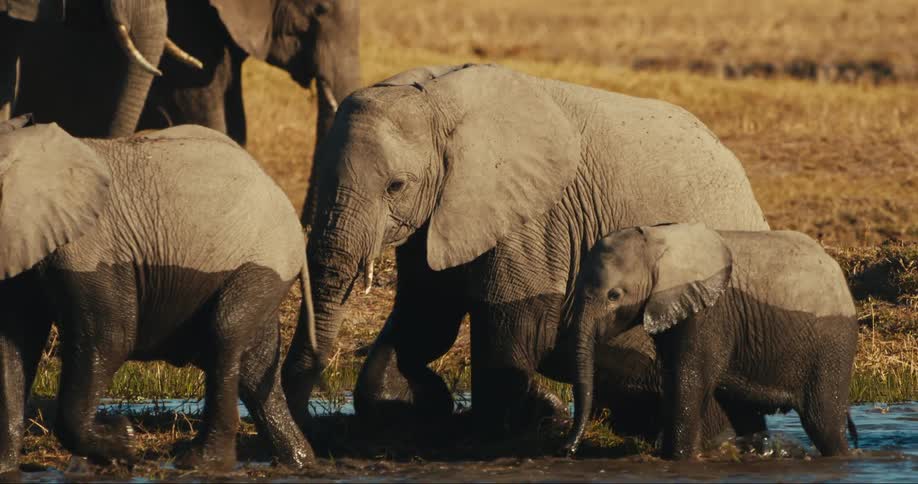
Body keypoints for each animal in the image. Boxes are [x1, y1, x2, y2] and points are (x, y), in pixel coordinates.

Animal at [0, 115, 316, 472]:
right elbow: (15, 346)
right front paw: (7, 470)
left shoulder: (90, 247)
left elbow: (110, 339)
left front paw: (123, 442)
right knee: (255, 367)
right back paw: (298, 462)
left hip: (263, 260)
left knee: (226, 334)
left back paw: (200, 463)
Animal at [280, 63, 771, 439]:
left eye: (396, 186)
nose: (310, 428)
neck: (438, 99)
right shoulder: (438, 217)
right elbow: (427, 318)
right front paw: (421, 406)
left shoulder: (537, 218)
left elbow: (517, 326)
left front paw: (534, 416)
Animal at [563, 223, 859, 459]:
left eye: (614, 295)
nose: (567, 450)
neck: (660, 242)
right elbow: (672, 377)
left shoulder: (710, 312)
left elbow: (690, 380)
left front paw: (679, 459)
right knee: (745, 413)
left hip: (833, 344)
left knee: (823, 422)